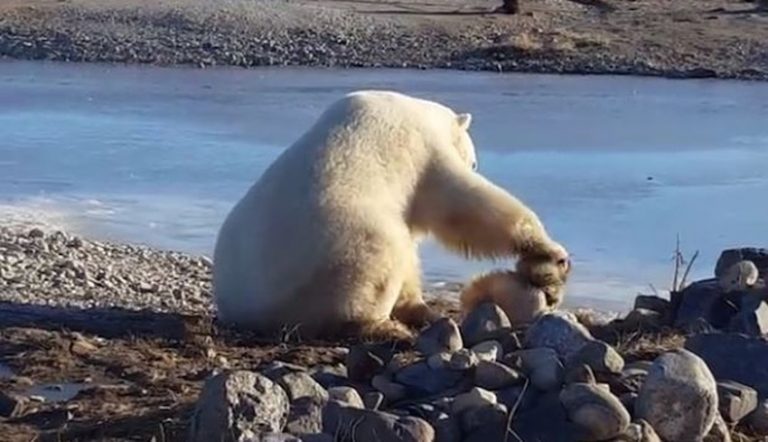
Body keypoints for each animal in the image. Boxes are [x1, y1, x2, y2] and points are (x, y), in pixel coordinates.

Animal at [212, 90, 570, 341]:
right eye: (473, 160)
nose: (474, 164)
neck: (419, 110)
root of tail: (247, 309)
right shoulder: (422, 149)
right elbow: (464, 204)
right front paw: (551, 254)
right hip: (336, 248)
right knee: (380, 256)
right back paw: (386, 328)